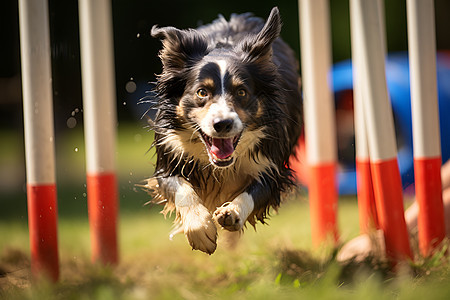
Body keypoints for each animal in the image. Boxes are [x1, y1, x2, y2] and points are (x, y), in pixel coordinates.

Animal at [147, 7, 302, 253]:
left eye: (241, 92)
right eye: (202, 92)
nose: (223, 124)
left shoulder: (273, 164)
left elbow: (256, 192)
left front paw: (233, 212)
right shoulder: (169, 156)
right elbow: (181, 188)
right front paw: (200, 229)